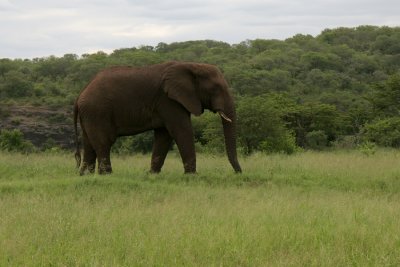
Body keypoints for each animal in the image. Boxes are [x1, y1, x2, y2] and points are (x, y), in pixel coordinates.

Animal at [73, 61, 242, 175]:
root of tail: (80, 95)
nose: (238, 173)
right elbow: (182, 131)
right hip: (98, 111)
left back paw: (85, 176)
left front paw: (152, 175)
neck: (191, 66)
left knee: (89, 144)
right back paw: (107, 175)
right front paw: (192, 176)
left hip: (90, 115)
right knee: (104, 143)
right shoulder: (168, 100)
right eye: (216, 89)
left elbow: (164, 135)